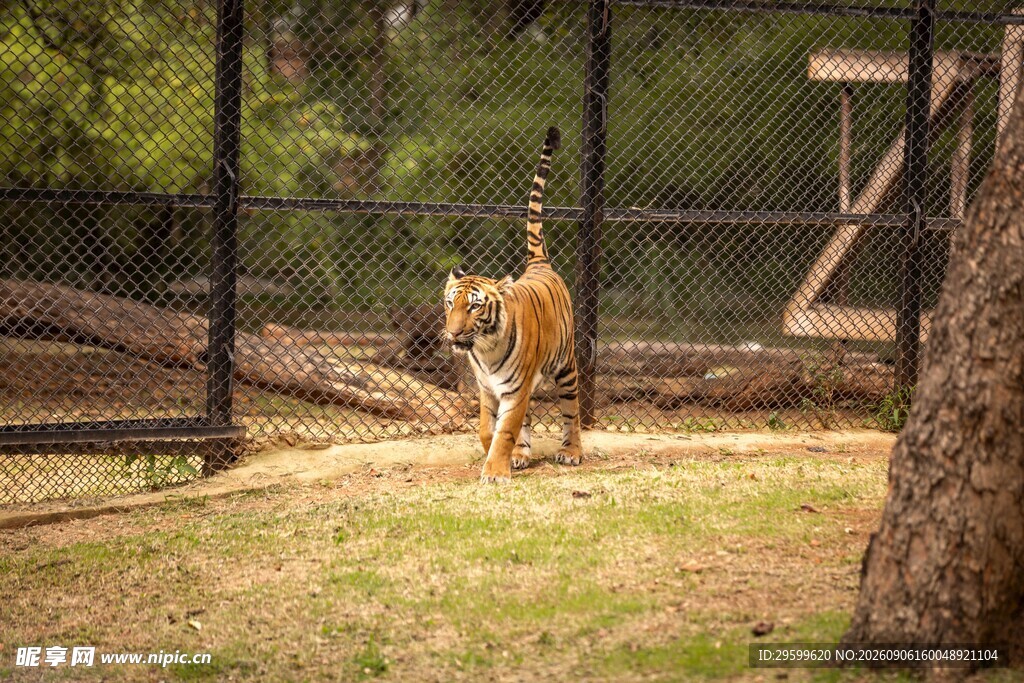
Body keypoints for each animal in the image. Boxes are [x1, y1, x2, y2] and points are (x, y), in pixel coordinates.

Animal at [444, 126, 582, 483]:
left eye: (474, 307)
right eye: (450, 304)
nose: (453, 334)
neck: (484, 349)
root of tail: (539, 264)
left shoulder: (514, 389)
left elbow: (505, 431)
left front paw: (495, 471)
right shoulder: (488, 389)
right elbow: (487, 429)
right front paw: (501, 453)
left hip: (566, 367)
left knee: (572, 411)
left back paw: (571, 451)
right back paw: (521, 455)